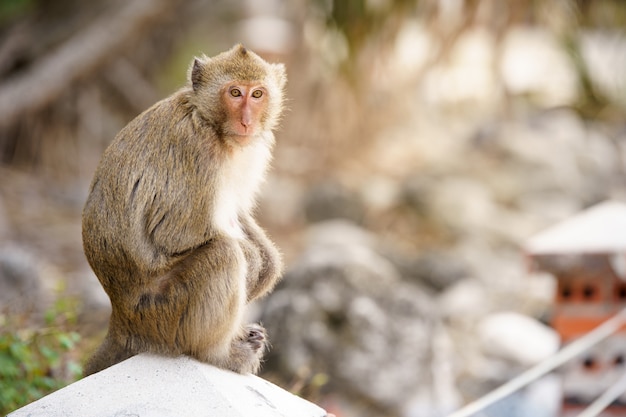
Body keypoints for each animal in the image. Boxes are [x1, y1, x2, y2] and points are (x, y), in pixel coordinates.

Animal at [82, 44, 286, 376]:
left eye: (257, 94)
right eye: (235, 93)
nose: (247, 121)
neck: (209, 122)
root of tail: (121, 318)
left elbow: (237, 213)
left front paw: (268, 261)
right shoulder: (197, 152)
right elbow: (176, 235)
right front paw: (255, 260)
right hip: (163, 311)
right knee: (224, 253)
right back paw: (218, 354)